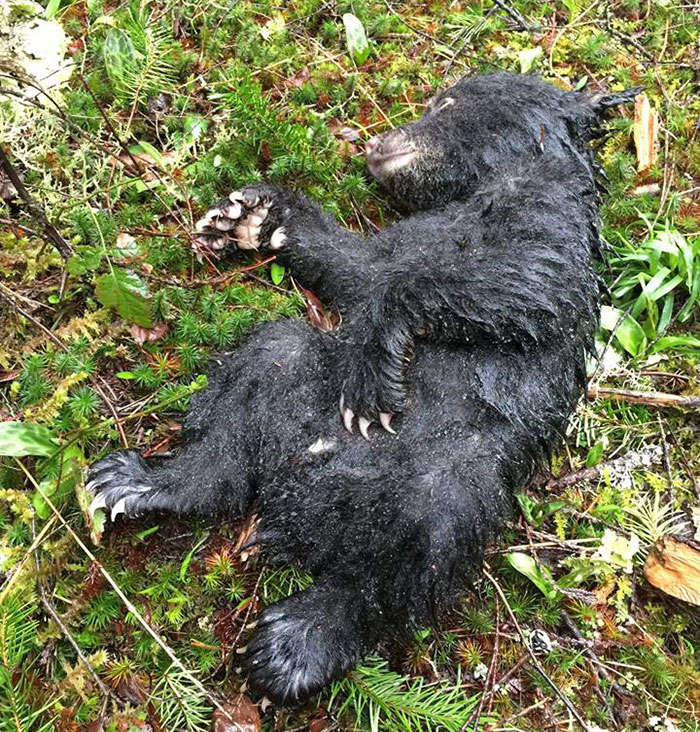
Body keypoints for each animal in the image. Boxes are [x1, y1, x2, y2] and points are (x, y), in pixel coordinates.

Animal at [87, 73, 637, 705]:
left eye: (446, 102)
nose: (376, 144)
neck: (487, 184)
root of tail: (294, 500)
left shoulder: (549, 218)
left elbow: (519, 275)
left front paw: (373, 371)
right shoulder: (408, 234)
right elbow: (360, 264)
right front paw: (256, 214)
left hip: (455, 469)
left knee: (415, 554)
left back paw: (296, 643)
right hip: (293, 387)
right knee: (262, 371)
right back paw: (143, 482)